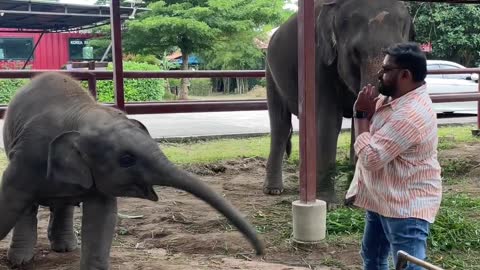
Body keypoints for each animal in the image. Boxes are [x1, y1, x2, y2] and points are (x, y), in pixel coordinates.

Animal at [0, 72, 262, 270]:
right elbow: (10, 199)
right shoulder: (29, 156)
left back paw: (64, 249)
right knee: (28, 207)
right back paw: (20, 260)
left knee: (62, 205)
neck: (82, 113)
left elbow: (102, 218)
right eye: (126, 159)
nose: (260, 251)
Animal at [262, 0, 412, 202]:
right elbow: (329, 119)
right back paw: (274, 190)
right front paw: (328, 202)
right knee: (280, 125)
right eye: (355, 52)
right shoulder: (318, 59)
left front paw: (357, 199)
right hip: (270, 74)